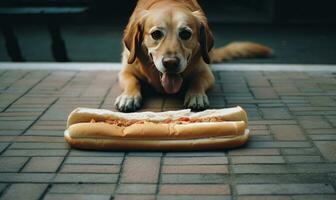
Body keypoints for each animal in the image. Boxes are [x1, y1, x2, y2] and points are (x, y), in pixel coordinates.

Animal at [114, 0, 272, 112]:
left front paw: (196, 96)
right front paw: (128, 97)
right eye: (156, 34)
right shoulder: (126, 70)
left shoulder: (206, 72)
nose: (171, 63)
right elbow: (132, 81)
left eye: (185, 34)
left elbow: (198, 81)